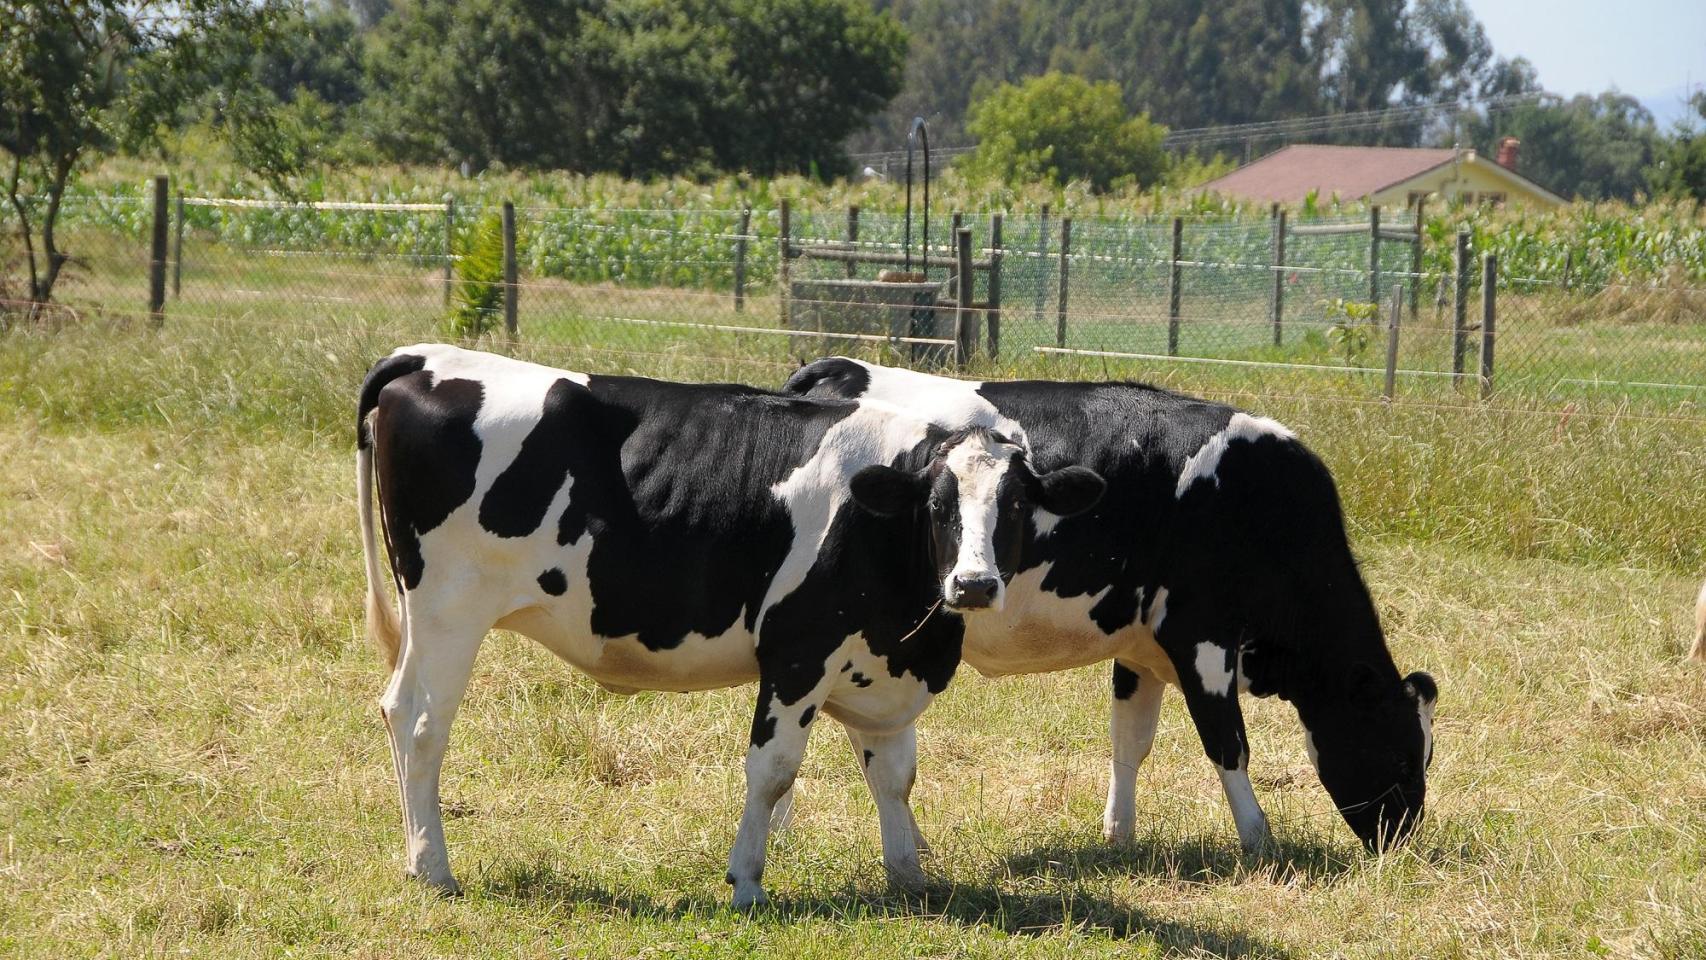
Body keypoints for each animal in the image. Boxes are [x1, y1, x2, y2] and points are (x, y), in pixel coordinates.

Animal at [359, 346, 1105, 907]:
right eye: (938, 504)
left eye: (1017, 506)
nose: (973, 584)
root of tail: (426, 359)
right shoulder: (799, 654)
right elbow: (773, 771)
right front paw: (746, 881)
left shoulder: (882, 665)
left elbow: (894, 775)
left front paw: (909, 879)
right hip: (450, 606)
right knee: (424, 725)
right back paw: (436, 869)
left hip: (428, 615)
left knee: (396, 708)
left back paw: (413, 856)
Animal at [784, 356, 1439, 852]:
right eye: (1405, 755)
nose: (1400, 840)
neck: (1260, 500)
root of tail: (839, 366)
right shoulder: (1202, 636)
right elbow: (1227, 742)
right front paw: (1258, 839)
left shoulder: (1141, 646)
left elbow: (1130, 742)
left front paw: (1119, 834)